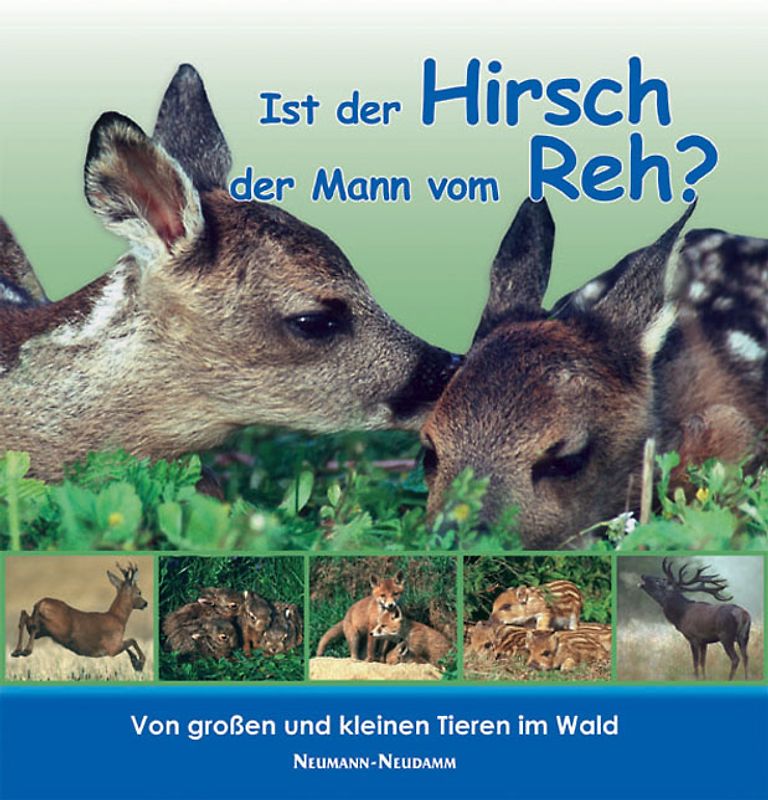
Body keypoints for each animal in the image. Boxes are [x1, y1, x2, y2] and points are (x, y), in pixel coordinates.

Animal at [10, 562, 149, 672]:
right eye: (139, 592)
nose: (145, 603)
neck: (118, 618)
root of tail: (40, 603)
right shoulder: (112, 648)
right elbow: (133, 640)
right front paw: (141, 661)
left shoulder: (115, 646)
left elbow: (130, 646)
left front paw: (136, 664)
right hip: (56, 628)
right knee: (32, 624)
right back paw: (26, 650)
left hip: (42, 630)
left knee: (24, 616)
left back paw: (17, 651)